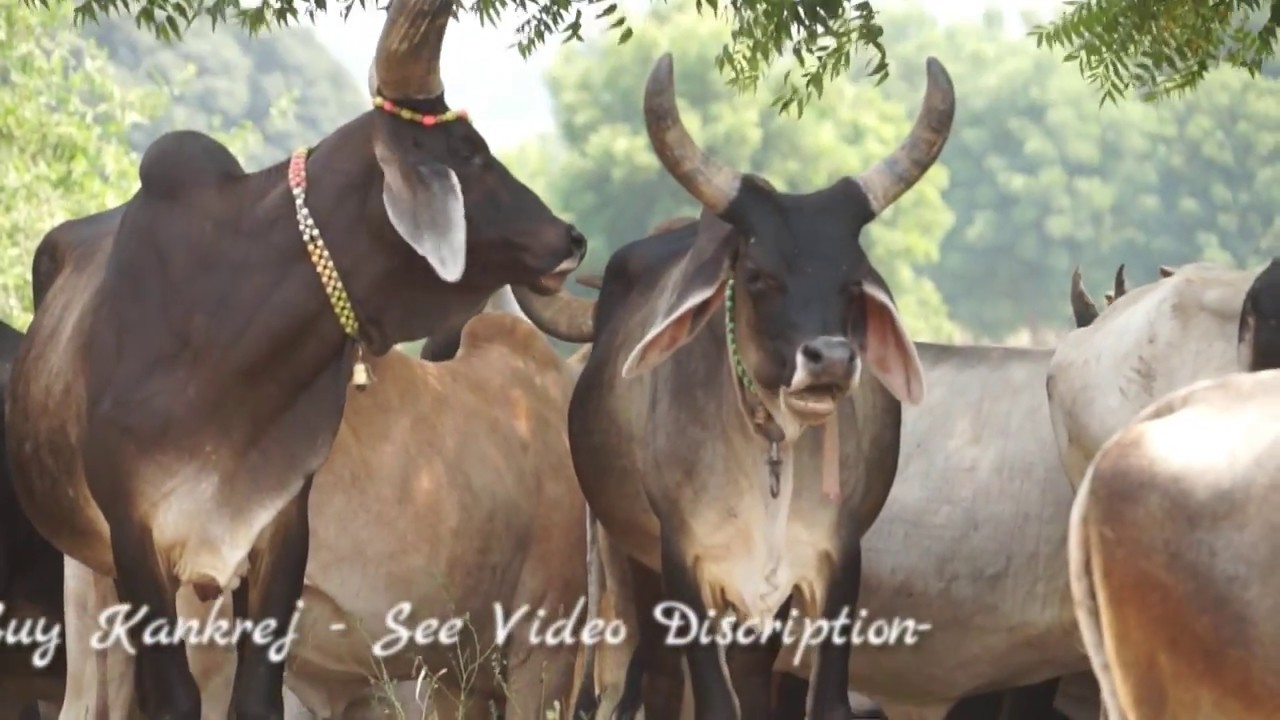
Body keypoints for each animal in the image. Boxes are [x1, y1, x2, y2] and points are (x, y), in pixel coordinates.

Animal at [4, 0, 589, 716]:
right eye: (467, 151)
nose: (570, 237)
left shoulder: (280, 536)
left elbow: (258, 695)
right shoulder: (138, 544)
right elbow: (175, 698)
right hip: (93, 577)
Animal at [509, 50, 953, 719]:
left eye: (854, 281)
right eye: (759, 274)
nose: (830, 360)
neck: (768, 450)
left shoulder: (835, 562)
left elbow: (820, 699)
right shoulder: (682, 563)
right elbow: (714, 700)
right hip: (632, 564)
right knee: (658, 682)